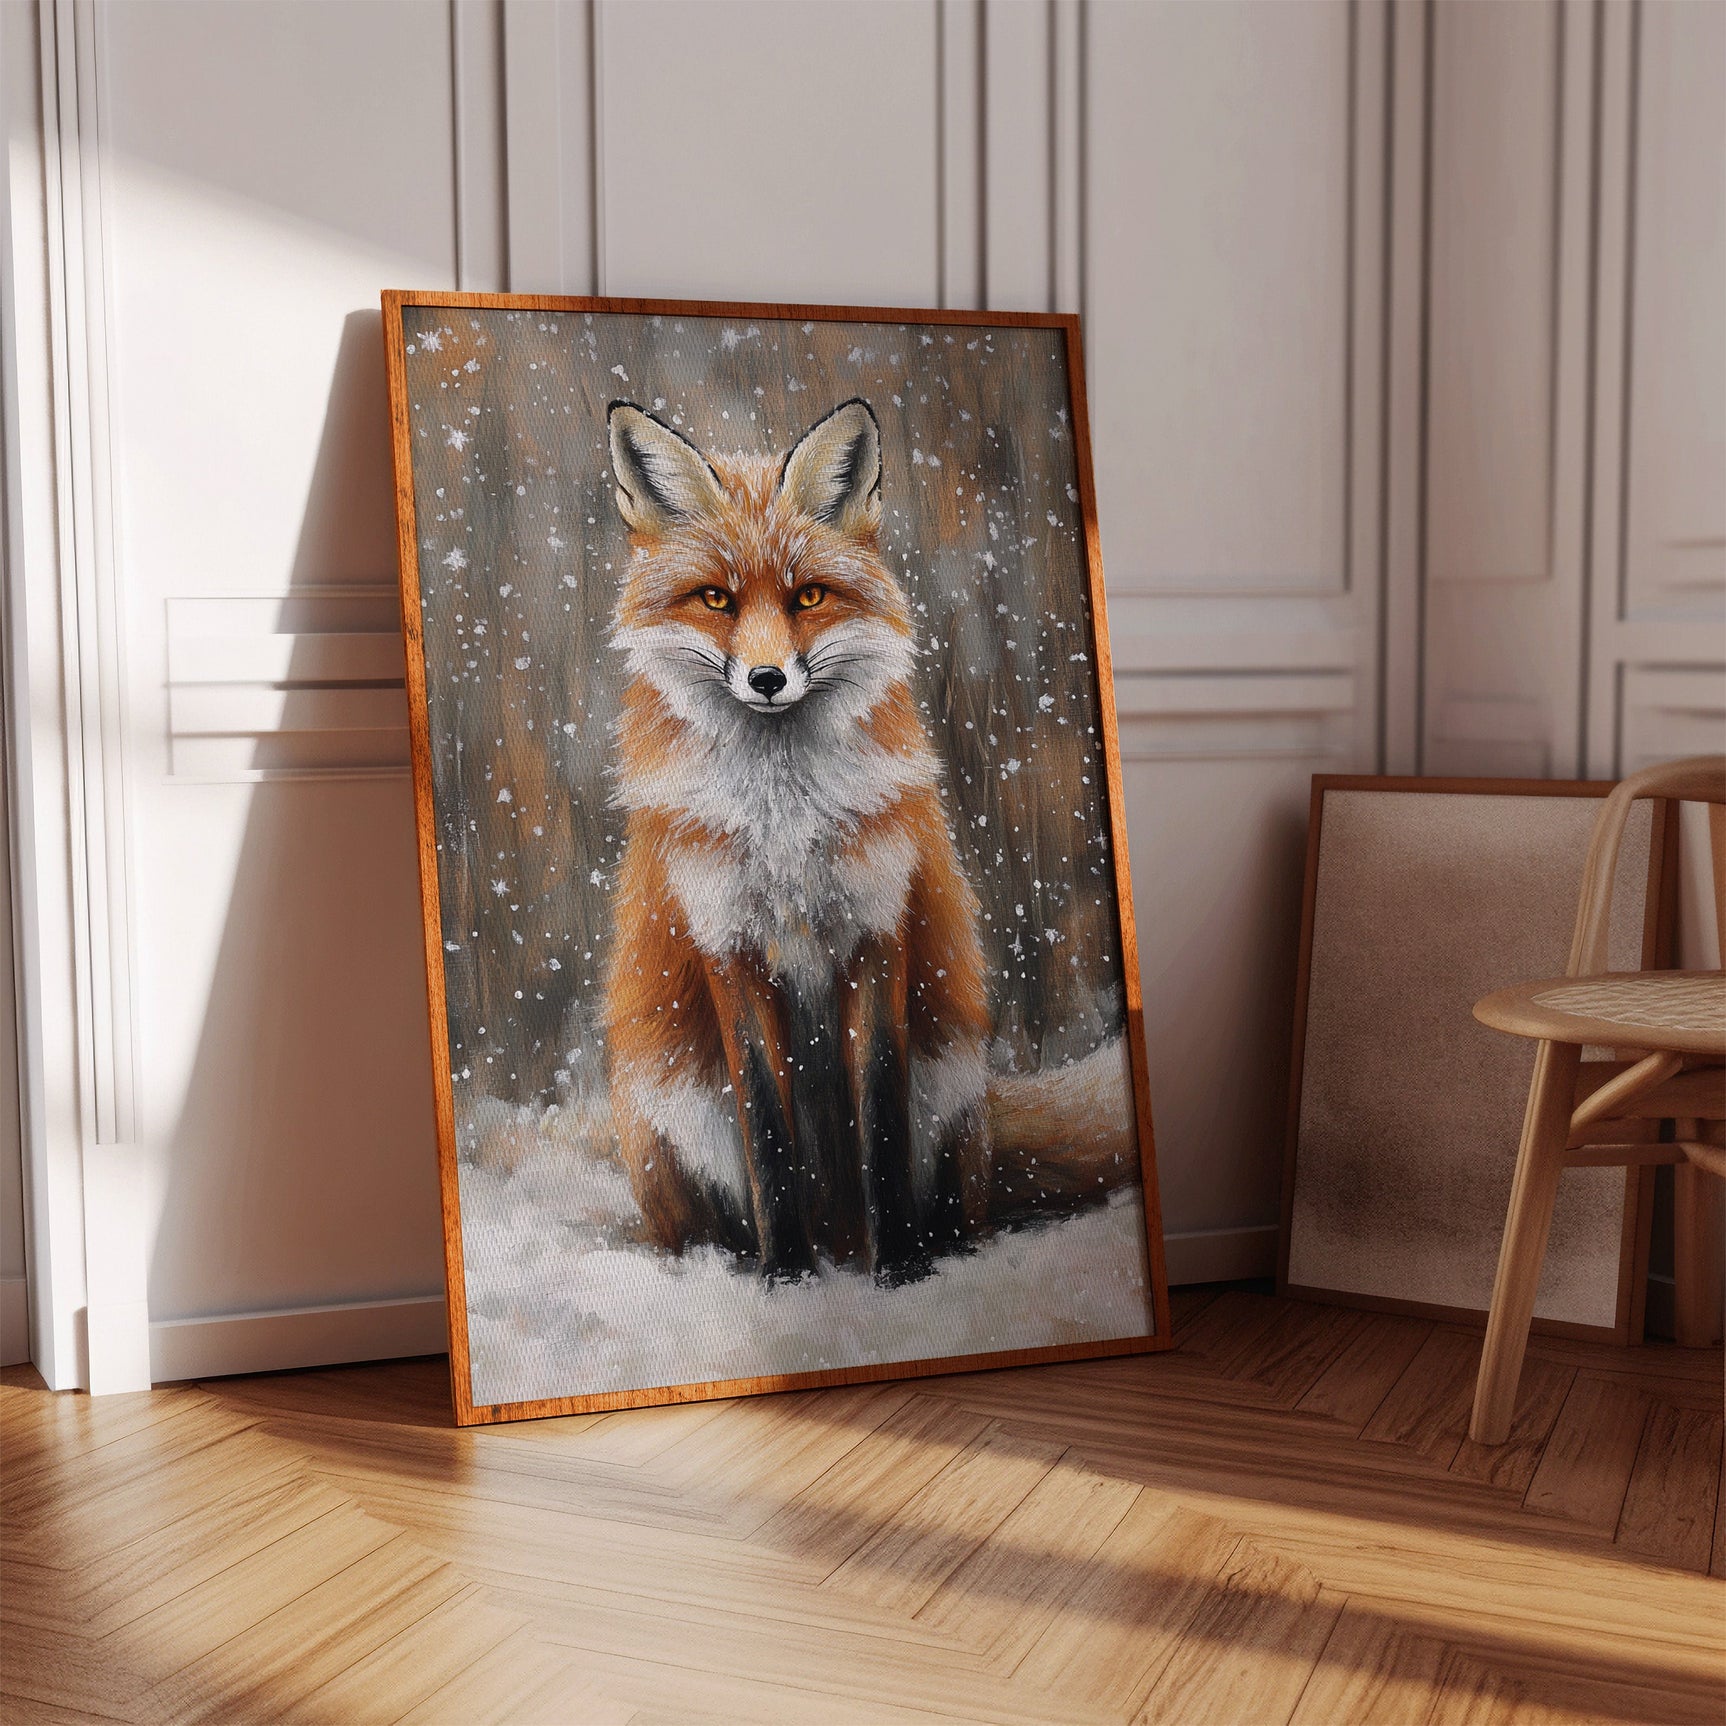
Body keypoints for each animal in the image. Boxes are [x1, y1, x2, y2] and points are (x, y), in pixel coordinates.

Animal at [599, 397, 993, 1285]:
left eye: (809, 595)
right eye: (715, 600)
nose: (768, 679)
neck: (783, 822)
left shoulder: (879, 928)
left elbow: (880, 1116)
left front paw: (902, 1270)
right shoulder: (728, 944)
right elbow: (767, 1128)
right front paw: (786, 1276)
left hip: (956, 1083)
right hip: (665, 1109)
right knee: (696, 1225)